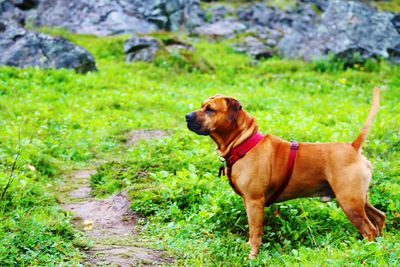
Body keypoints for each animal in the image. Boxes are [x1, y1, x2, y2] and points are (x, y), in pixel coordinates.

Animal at [184, 88, 384, 260]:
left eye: (210, 109)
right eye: (202, 105)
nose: (187, 116)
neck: (242, 142)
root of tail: (353, 147)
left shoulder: (254, 202)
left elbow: (255, 232)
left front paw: (252, 256)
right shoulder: (247, 201)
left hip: (349, 201)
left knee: (368, 229)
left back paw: (365, 251)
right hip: (359, 199)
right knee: (379, 217)